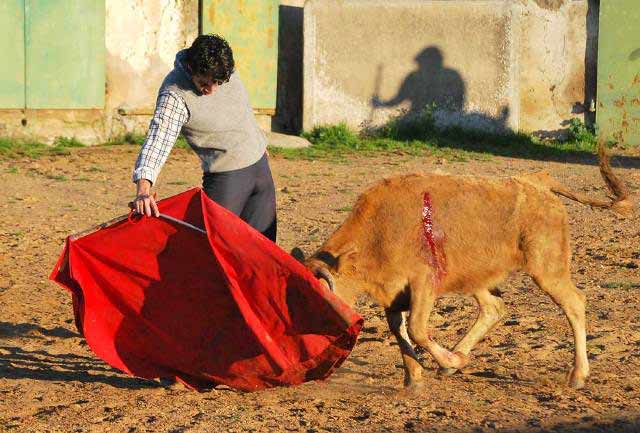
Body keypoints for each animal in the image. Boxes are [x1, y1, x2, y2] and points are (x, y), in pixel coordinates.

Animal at [302, 142, 632, 388]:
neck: (378, 231)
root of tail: (536, 180)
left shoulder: (423, 283)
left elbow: (417, 328)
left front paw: (444, 362)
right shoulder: (392, 293)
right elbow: (400, 331)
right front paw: (415, 378)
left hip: (548, 269)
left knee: (574, 303)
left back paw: (577, 375)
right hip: (477, 275)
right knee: (494, 308)